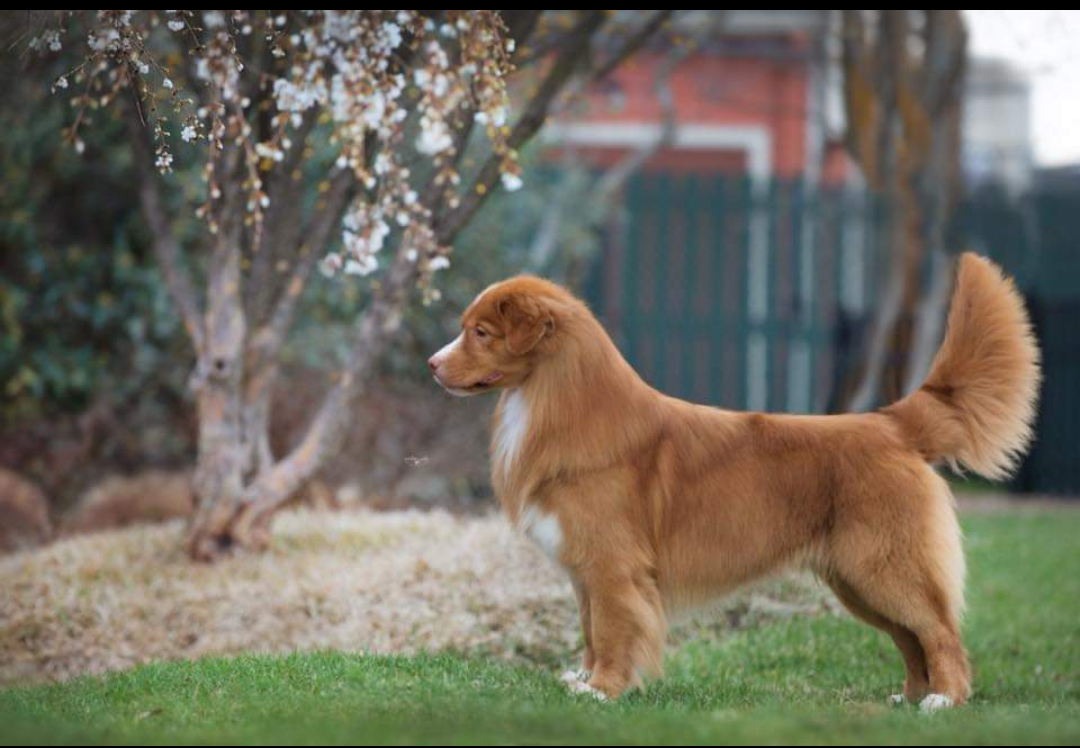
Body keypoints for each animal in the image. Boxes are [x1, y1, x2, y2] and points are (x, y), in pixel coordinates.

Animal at [427, 253, 1036, 708]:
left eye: (480, 332)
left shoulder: (613, 568)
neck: (559, 403)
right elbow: (590, 630)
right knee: (911, 639)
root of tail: (890, 423)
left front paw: (603, 691)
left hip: (885, 564)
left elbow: (614, 630)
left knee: (939, 633)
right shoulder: (584, 572)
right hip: (856, 581)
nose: (431, 364)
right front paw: (584, 679)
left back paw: (945, 700)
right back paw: (909, 698)